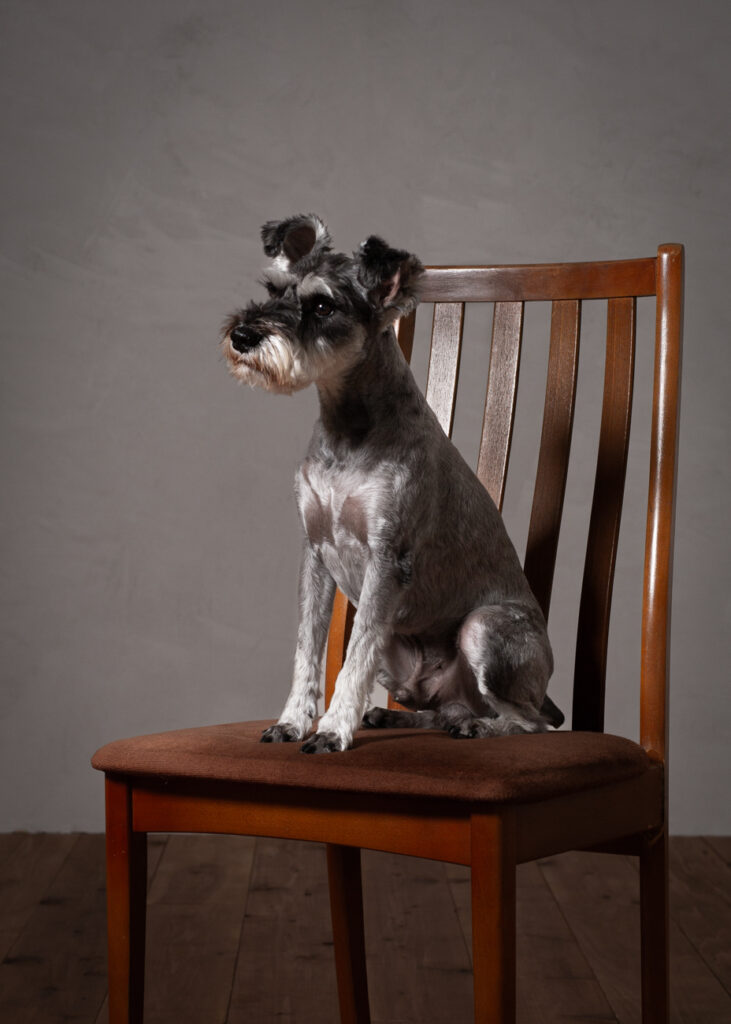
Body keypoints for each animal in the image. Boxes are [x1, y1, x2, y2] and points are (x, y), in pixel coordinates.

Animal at [221, 214, 556, 753]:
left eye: (322, 305)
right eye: (273, 289)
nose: (244, 335)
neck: (347, 426)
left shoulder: (387, 557)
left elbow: (354, 657)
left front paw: (332, 730)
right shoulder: (315, 554)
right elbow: (308, 649)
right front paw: (293, 721)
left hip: (484, 629)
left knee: (530, 721)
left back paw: (480, 727)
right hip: (403, 662)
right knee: (443, 707)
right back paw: (397, 717)